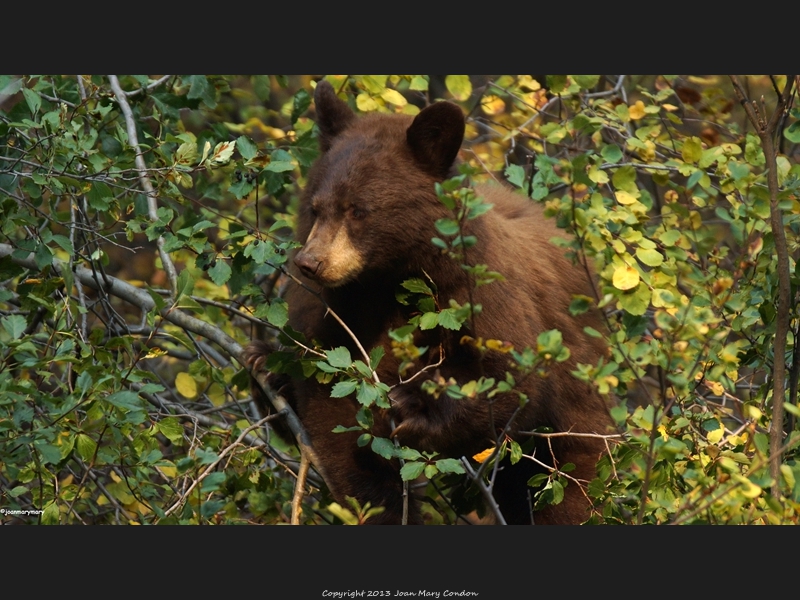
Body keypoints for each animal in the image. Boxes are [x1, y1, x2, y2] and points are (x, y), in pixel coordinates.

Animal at [250, 81, 612, 524]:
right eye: (317, 208)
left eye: (358, 210)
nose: (310, 263)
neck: (387, 279)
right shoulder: (338, 308)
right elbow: (331, 394)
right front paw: (378, 500)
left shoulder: (476, 289)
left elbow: (511, 378)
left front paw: (413, 412)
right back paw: (264, 367)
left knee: (569, 482)